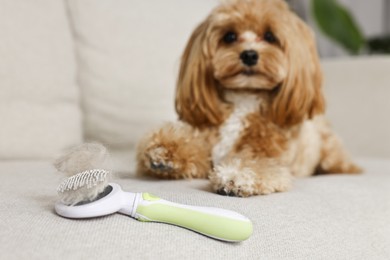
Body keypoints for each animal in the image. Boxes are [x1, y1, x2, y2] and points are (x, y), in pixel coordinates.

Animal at [136, 0, 360, 196]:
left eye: (270, 36)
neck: (244, 99)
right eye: (229, 36)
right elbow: (194, 151)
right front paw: (163, 153)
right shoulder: (208, 151)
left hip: (330, 150)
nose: (249, 55)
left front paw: (236, 176)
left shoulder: (270, 156)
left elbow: (258, 164)